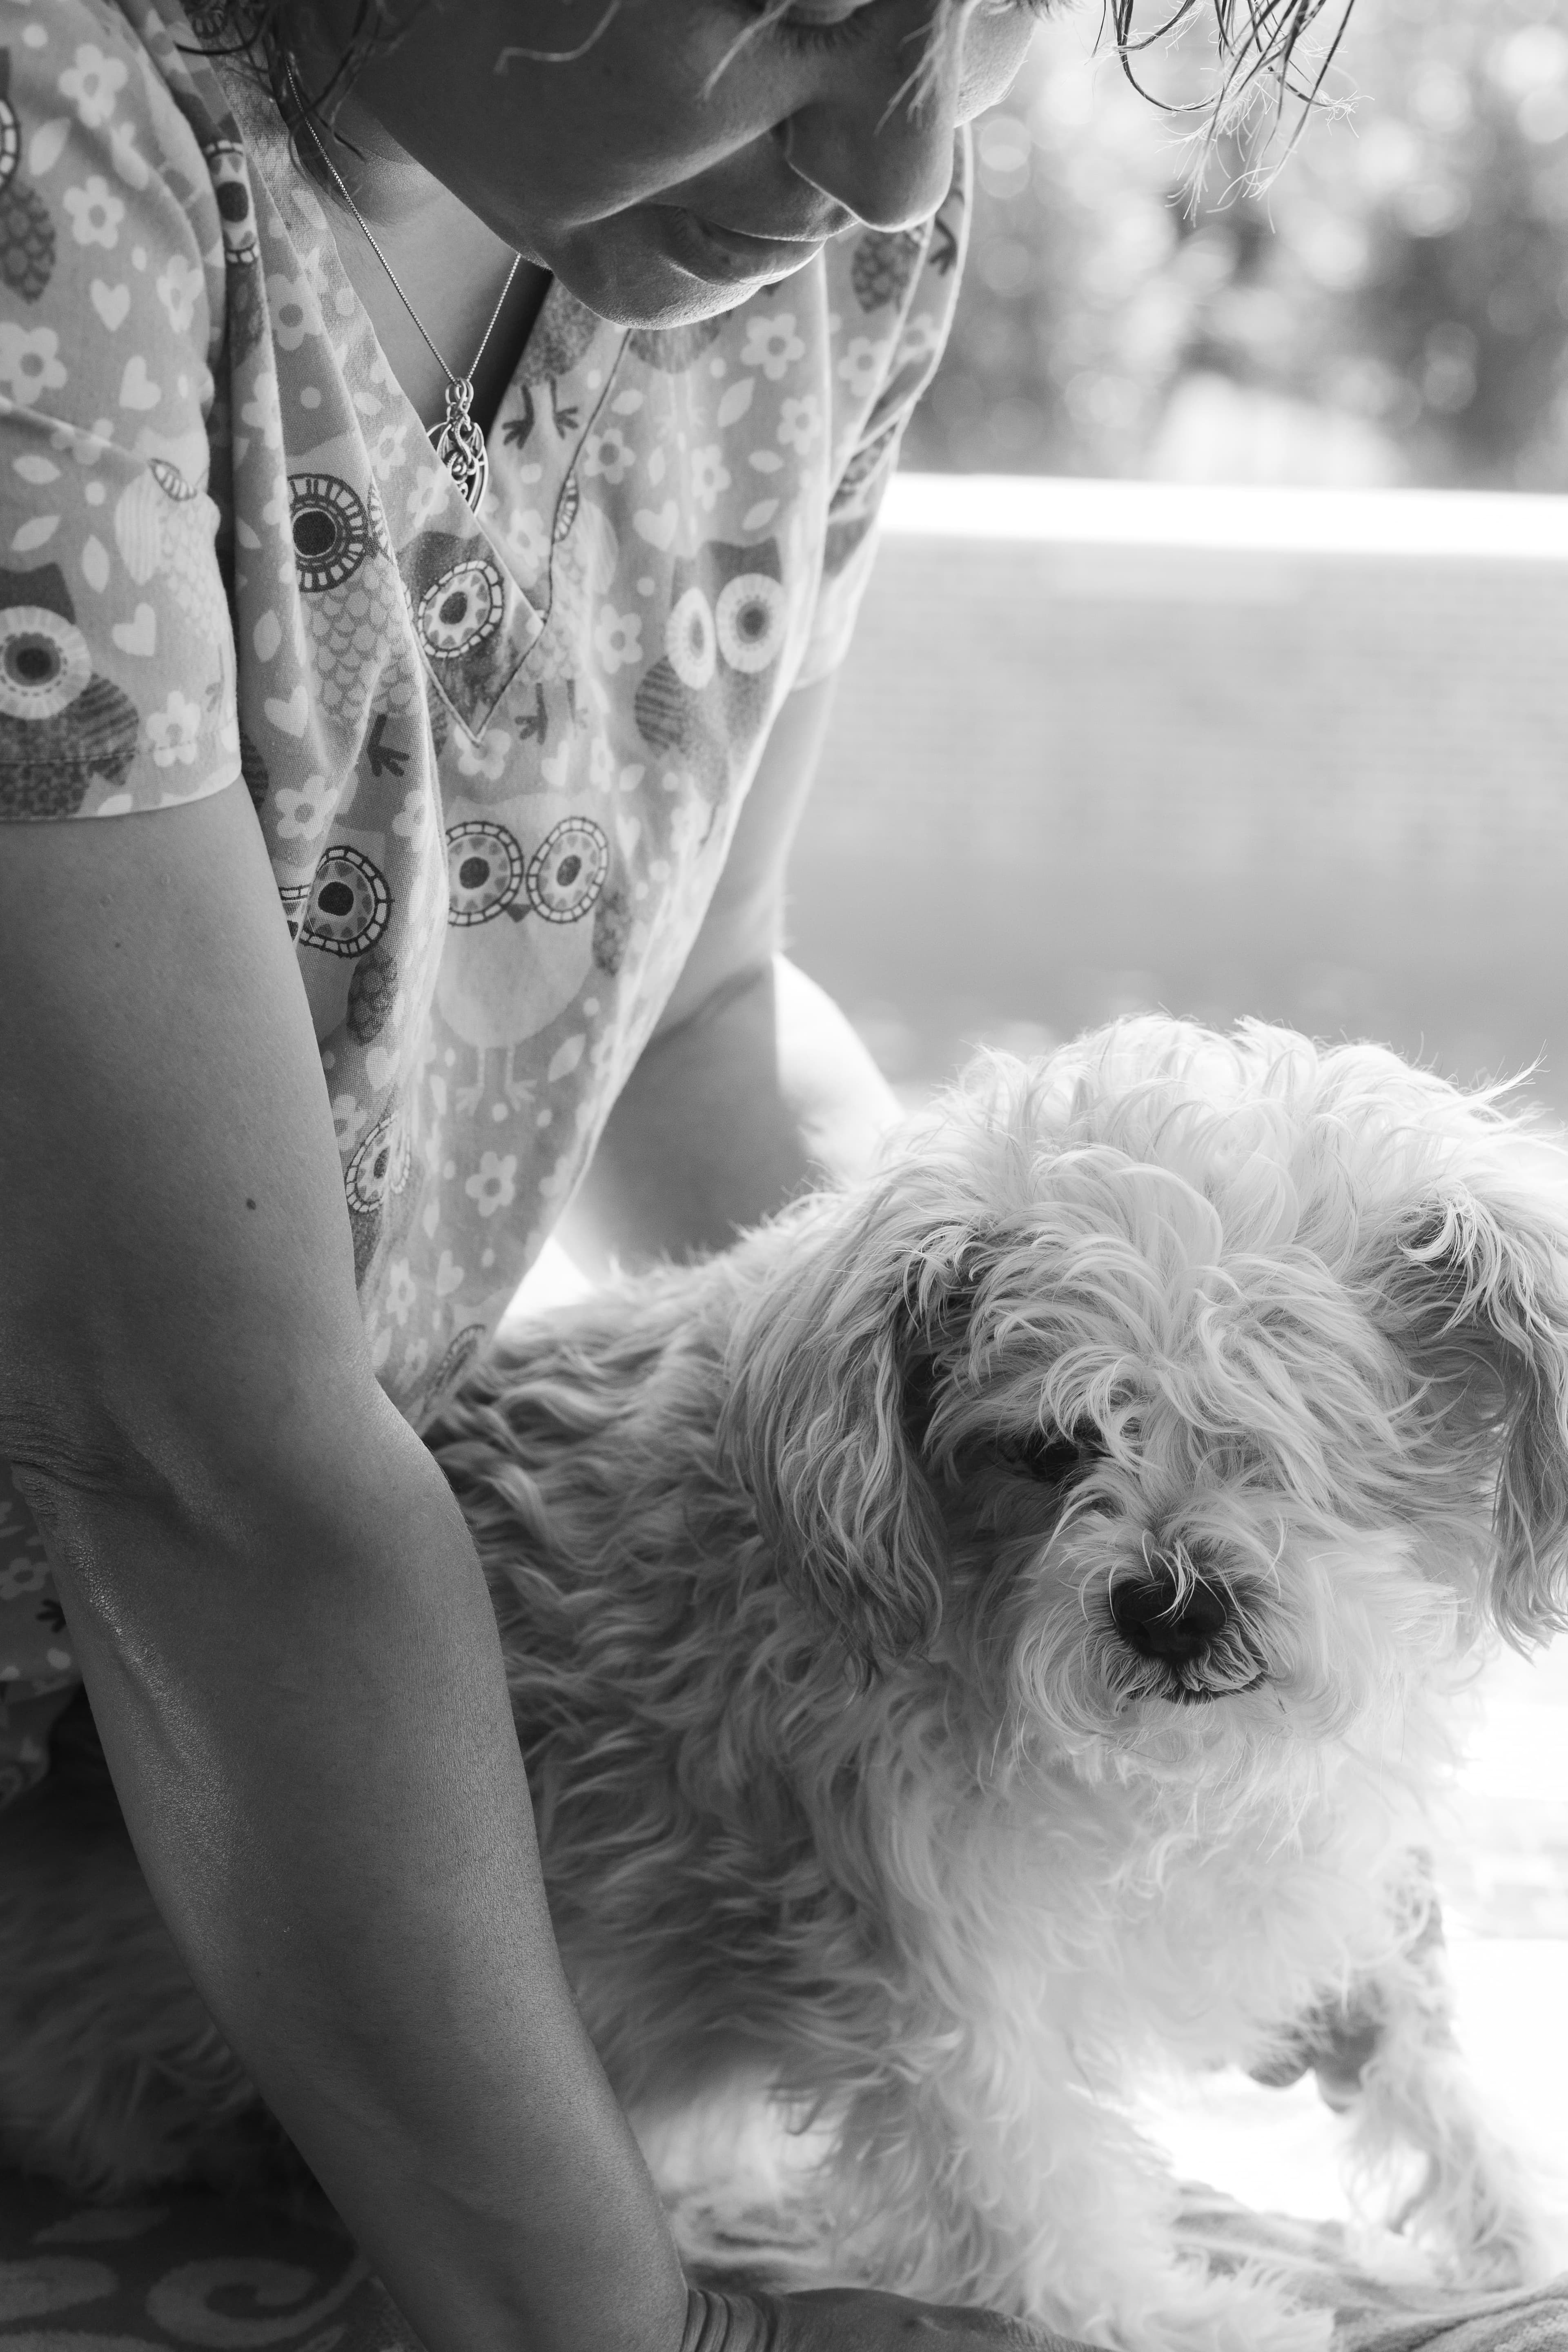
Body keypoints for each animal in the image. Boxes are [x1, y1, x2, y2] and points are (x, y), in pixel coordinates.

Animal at [3, 1025, 1568, 2352]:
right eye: (1053, 1447)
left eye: (1293, 1435)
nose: (1170, 1607)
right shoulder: (921, 1952)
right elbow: (1028, 2188)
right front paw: (1176, 2319)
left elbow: (1423, 2067)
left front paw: (1503, 2211)